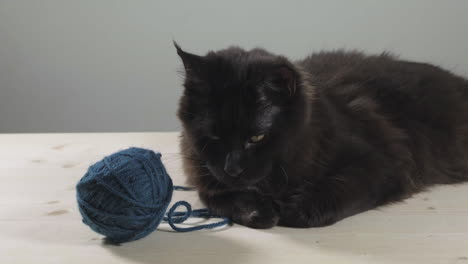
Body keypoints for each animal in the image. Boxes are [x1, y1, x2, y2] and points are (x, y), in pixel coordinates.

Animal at [175, 41, 468, 229]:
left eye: (257, 137)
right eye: (213, 135)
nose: (232, 168)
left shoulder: (382, 161)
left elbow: (341, 187)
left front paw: (294, 209)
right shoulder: (205, 176)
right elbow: (217, 198)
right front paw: (257, 211)